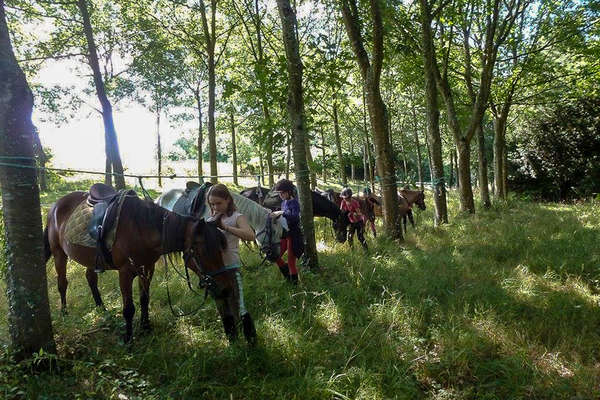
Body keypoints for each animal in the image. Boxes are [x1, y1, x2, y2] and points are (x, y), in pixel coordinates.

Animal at [42, 186, 244, 342]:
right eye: (202, 252)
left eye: (221, 248)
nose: (226, 288)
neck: (141, 228)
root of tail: (56, 206)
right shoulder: (125, 273)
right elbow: (129, 308)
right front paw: (128, 338)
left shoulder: (147, 269)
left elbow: (144, 299)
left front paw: (146, 327)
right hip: (59, 253)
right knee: (62, 283)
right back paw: (64, 313)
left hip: (90, 258)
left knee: (91, 278)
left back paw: (102, 309)